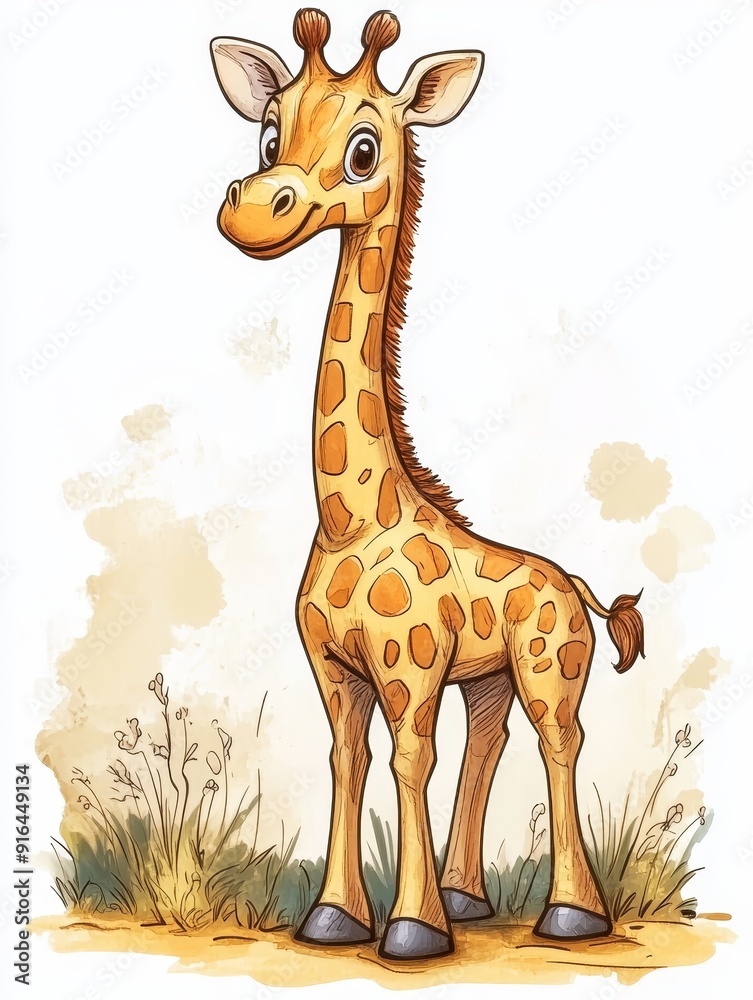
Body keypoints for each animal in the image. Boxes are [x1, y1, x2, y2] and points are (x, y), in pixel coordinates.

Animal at [211, 9, 645, 960]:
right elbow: (349, 760)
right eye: (267, 133)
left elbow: (411, 758)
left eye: (364, 149)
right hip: (487, 679)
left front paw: (410, 932)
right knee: (490, 741)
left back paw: (571, 914)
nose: (254, 209)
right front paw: (334, 918)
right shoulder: (334, 668)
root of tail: (577, 587)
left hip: (551, 667)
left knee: (560, 741)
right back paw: (468, 898)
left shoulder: (407, 669)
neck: (352, 518)